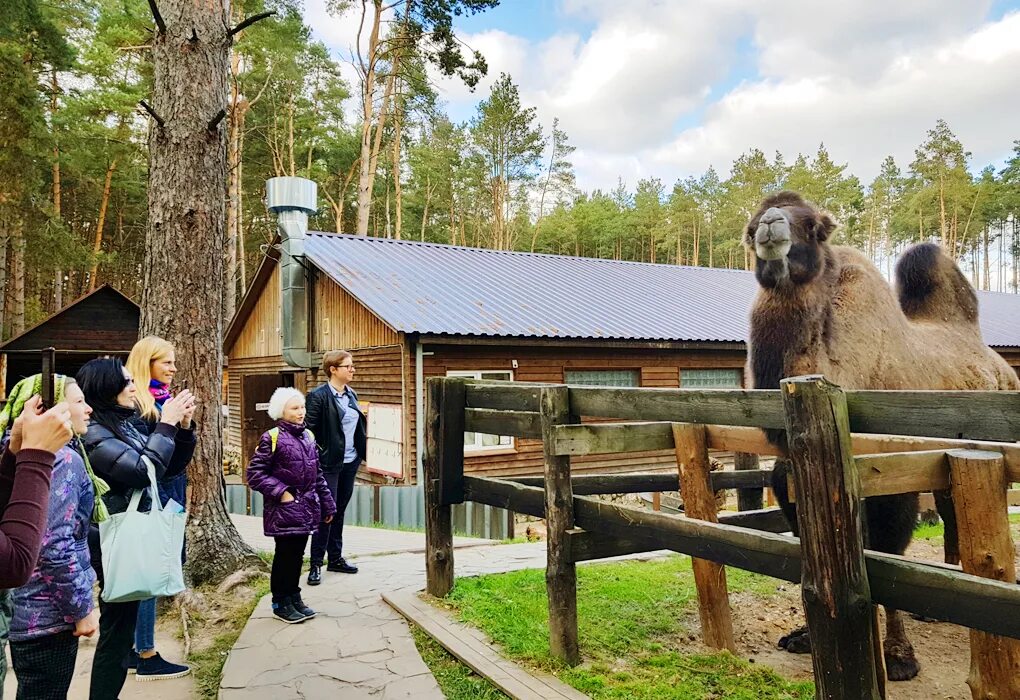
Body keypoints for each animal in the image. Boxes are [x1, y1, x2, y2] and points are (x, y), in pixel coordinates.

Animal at [742, 188, 1020, 681]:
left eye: (814, 226)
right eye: (753, 223)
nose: (772, 224)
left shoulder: (893, 479)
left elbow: (889, 554)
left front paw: (898, 656)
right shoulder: (787, 474)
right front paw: (804, 636)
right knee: (951, 511)